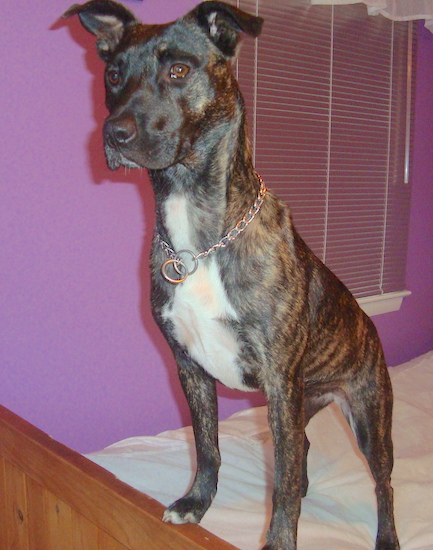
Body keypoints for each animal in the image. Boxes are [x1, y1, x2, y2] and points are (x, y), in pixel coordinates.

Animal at [63, 2, 398, 548]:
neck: (199, 241)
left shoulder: (279, 381)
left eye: (179, 70)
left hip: (368, 414)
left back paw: (386, 535)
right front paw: (196, 504)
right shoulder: (191, 368)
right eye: (112, 75)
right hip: (304, 402)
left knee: (381, 481)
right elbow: (208, 446)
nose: (114, 134)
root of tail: (367, 324)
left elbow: (280, 481)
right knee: (301, 449)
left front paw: (279, 539)